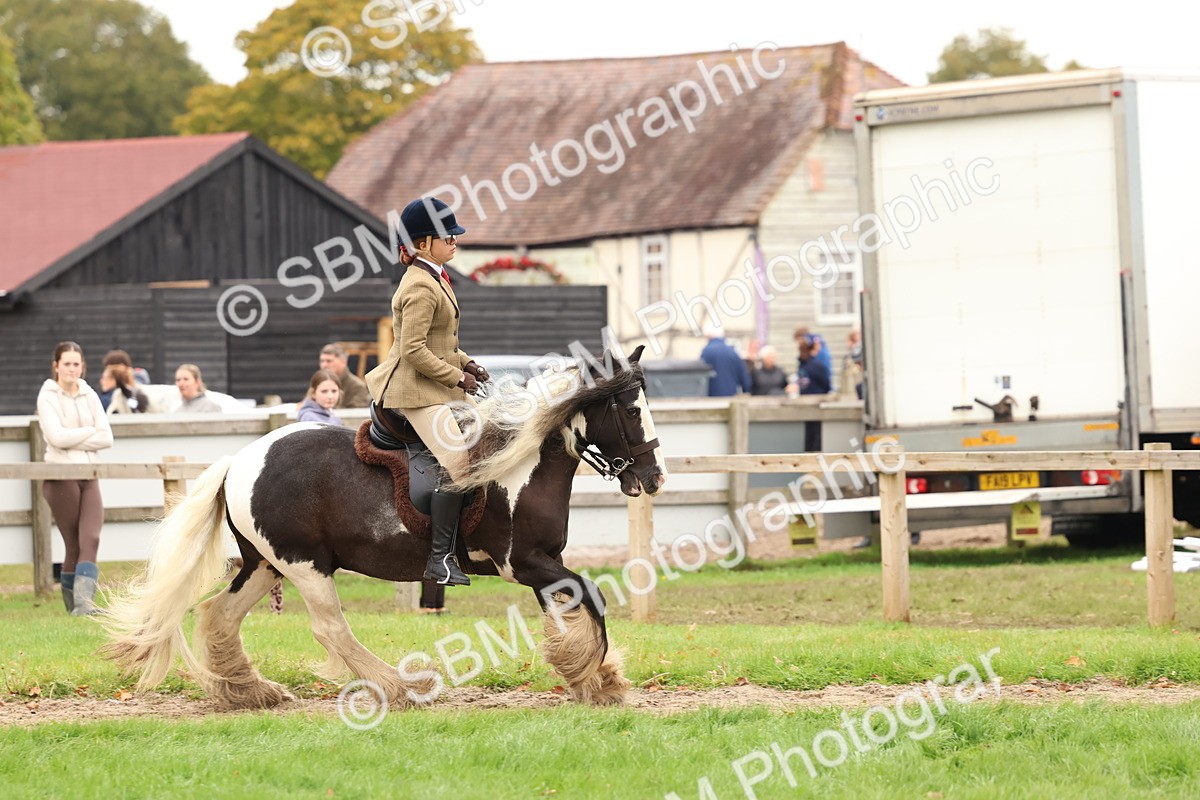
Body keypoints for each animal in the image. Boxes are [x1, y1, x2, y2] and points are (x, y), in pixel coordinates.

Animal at [102, 346, 667, 709]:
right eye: (629, 409)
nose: (654, 477)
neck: (518, 465)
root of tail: (238, 461)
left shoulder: (543, 565)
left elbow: (574, 606)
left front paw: (592, 677)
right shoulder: (524, 564)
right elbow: (594, 596)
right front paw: (599, 677)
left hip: (265, 564)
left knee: (219, 615)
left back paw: (248, 692)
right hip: (305, 565)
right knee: (329, 627)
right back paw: (400, 687)